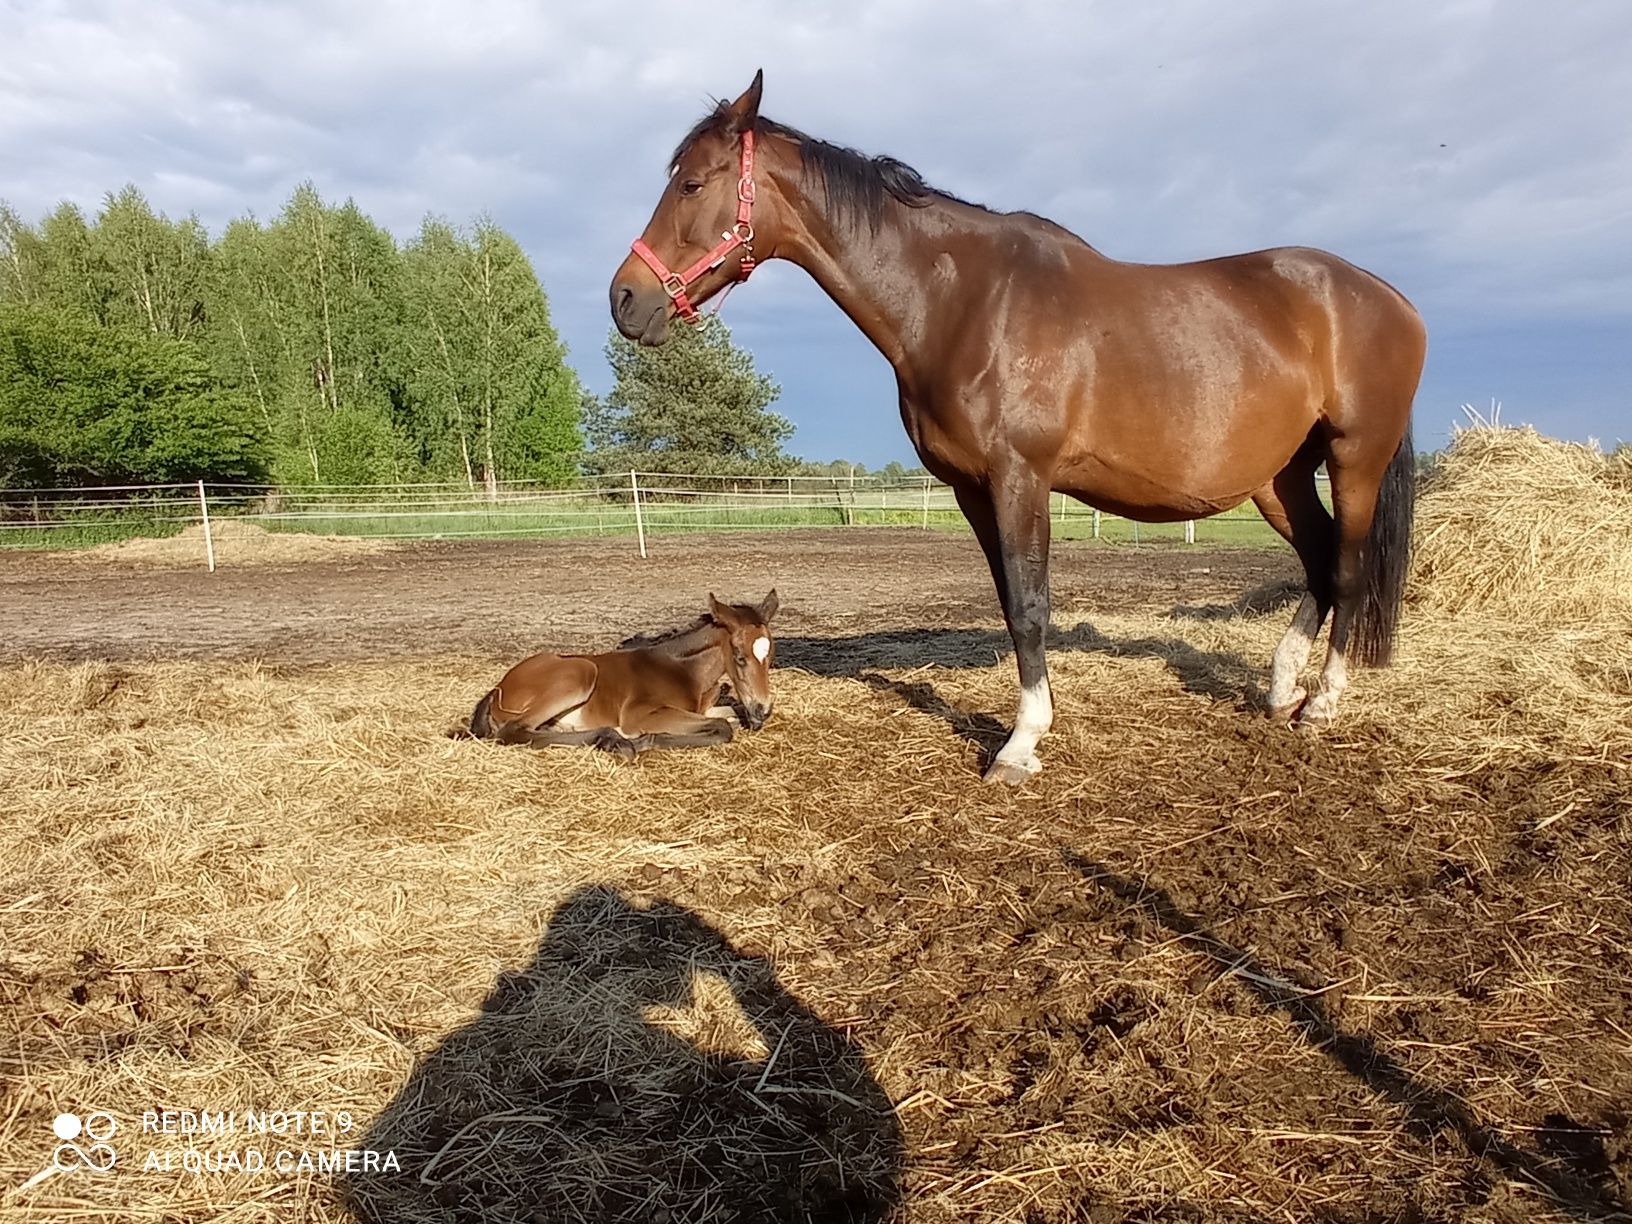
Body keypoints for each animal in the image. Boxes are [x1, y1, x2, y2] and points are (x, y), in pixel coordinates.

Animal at [470, 590, 780, 757]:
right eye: (739, 657)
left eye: (771, 656)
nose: (762, 710)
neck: (683, 670)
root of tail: (498, 686)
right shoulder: (641, 714)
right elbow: (724, 727)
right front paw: (649, 739)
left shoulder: (702, 709)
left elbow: (731, 715)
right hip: (581, 672)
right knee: (514, 731)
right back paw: (617, 740)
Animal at [607, 74, 1423, 786]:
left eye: (691, 183)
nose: (625, 299)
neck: (965, 302)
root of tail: (1390, 298)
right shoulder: (973, 489)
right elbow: (1008, 604)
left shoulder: (1019, 478)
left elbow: (1031, 606)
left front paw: (1020, 746)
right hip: (1279, 478)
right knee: (1319, 562)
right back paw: (1280, 689)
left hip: (1354, 460)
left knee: (1347, 570)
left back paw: (1321, 704)